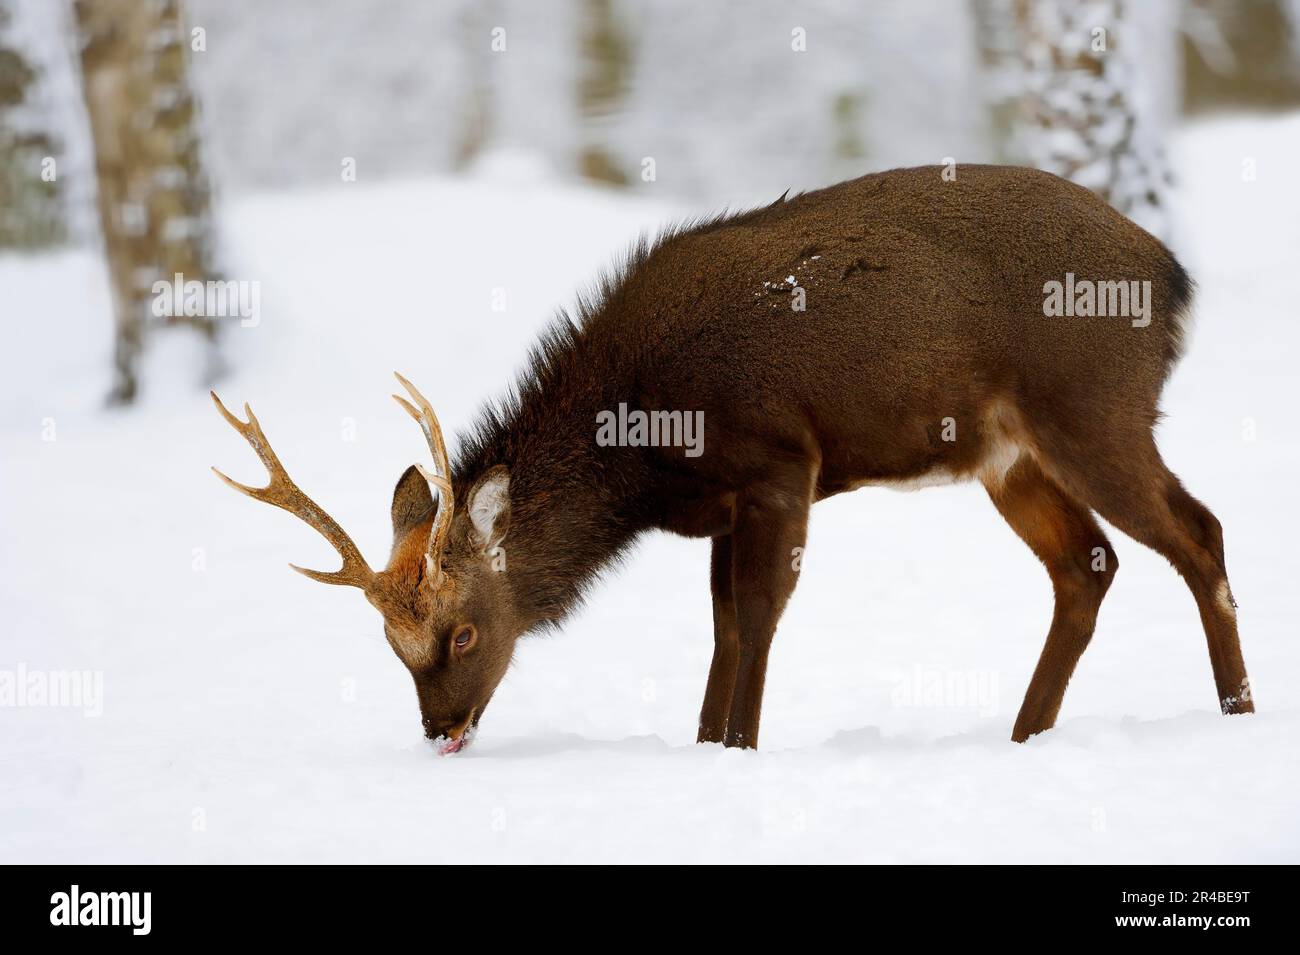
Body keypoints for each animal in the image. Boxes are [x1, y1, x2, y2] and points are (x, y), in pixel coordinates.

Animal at [213, 166, 1248, 753]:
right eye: (392, 647)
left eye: (463, 633)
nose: (442, 729)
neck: (639, 456)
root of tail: (1174, 277)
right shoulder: (721, 504)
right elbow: (719, 626)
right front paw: (708, 743)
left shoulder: (781, 462)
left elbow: (756, 617)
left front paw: (739, 747)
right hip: (1008, 454)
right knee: (1089, 564)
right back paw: (1025, 735)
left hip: (1092, 409)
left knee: (1199, 530)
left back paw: (1238, 713)